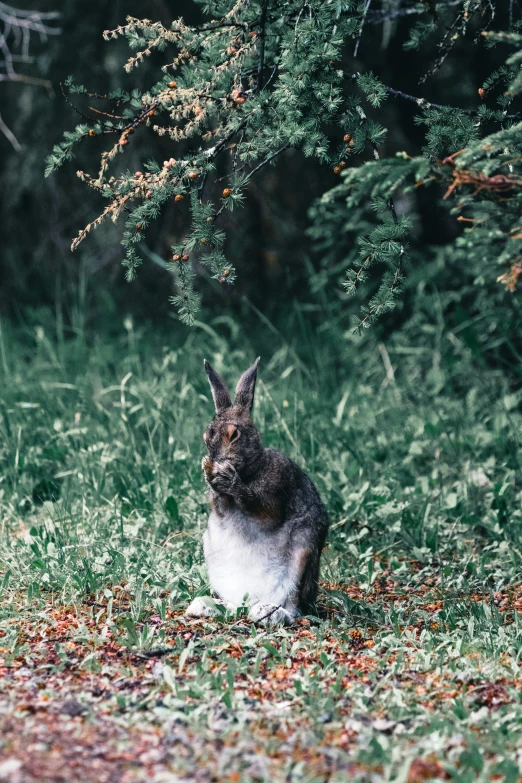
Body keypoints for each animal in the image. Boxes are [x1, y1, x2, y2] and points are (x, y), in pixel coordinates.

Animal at [185, 360, 328, 624]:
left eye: (234, 434)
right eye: (206, 436)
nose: (215, 459)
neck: (250, 469)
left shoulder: (276, 490)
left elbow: (261, 507)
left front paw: (228, 479)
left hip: (302, 556)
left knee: (294, 608)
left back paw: (269, 612)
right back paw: (207, 606)